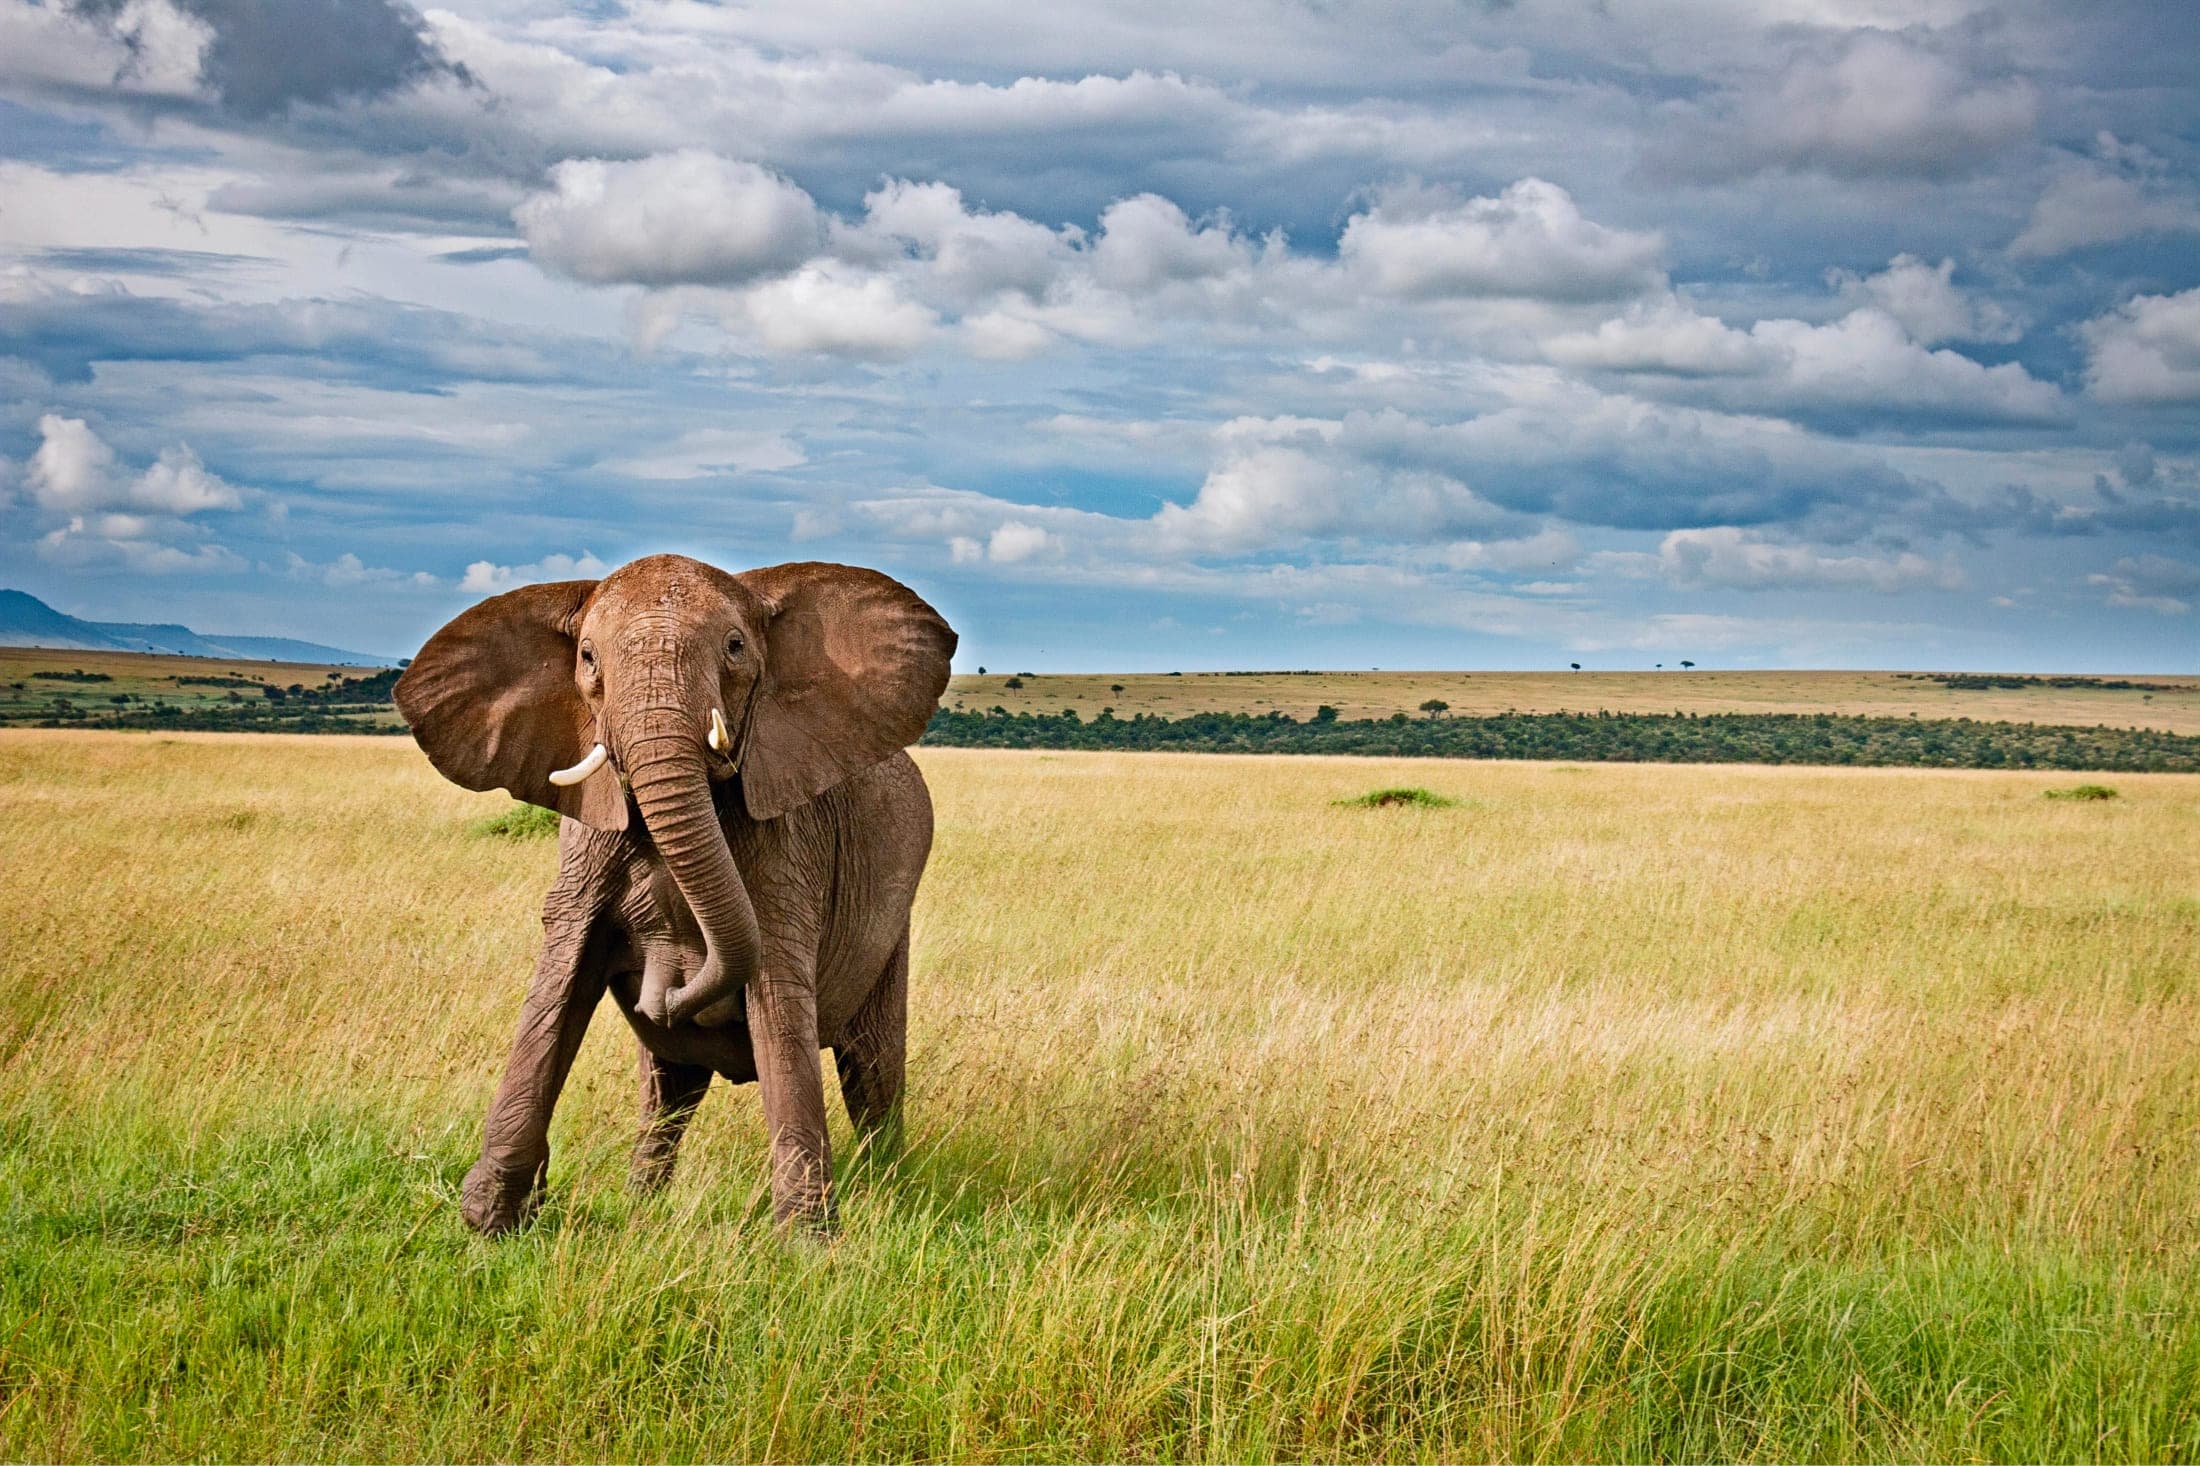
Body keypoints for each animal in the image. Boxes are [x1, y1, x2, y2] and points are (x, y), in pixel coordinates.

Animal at [394, 553, 956, 1234]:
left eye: (735, 647)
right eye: (587, 657)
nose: (666, 988)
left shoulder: (788, 845)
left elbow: (777, 999)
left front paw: (808, 1246)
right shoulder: (587, 839)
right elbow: (559, 982)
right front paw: (489, 1222)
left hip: (893, 926)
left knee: (872, 1074)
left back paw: (890, 1196)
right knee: (669, 1089)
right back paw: (642, 1204)